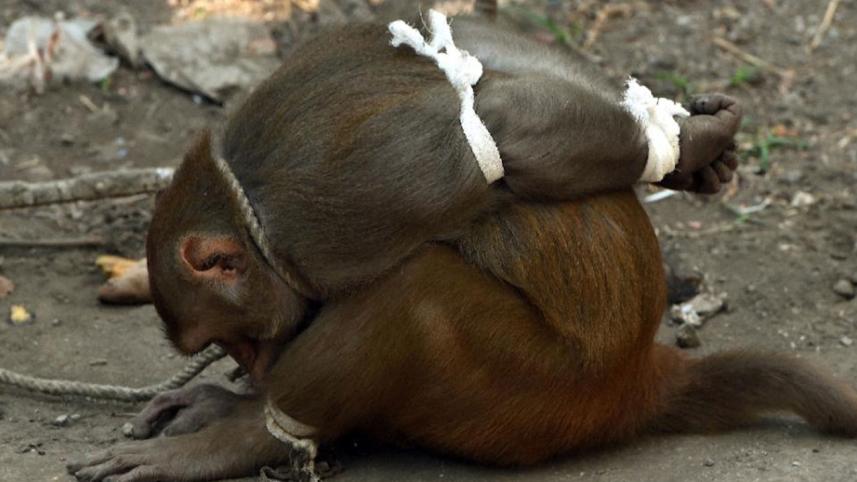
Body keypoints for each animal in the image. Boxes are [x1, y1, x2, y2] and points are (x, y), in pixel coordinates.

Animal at [68, 5, 857, 482]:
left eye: (234, 337)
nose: (249, 365)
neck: (250, 209)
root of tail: (637, 377)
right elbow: (490, 61)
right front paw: (693, 150)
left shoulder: (332, 212)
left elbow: (497, 132)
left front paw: (693, 143)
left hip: (527, 403)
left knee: (414, 294)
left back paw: (243, 438)